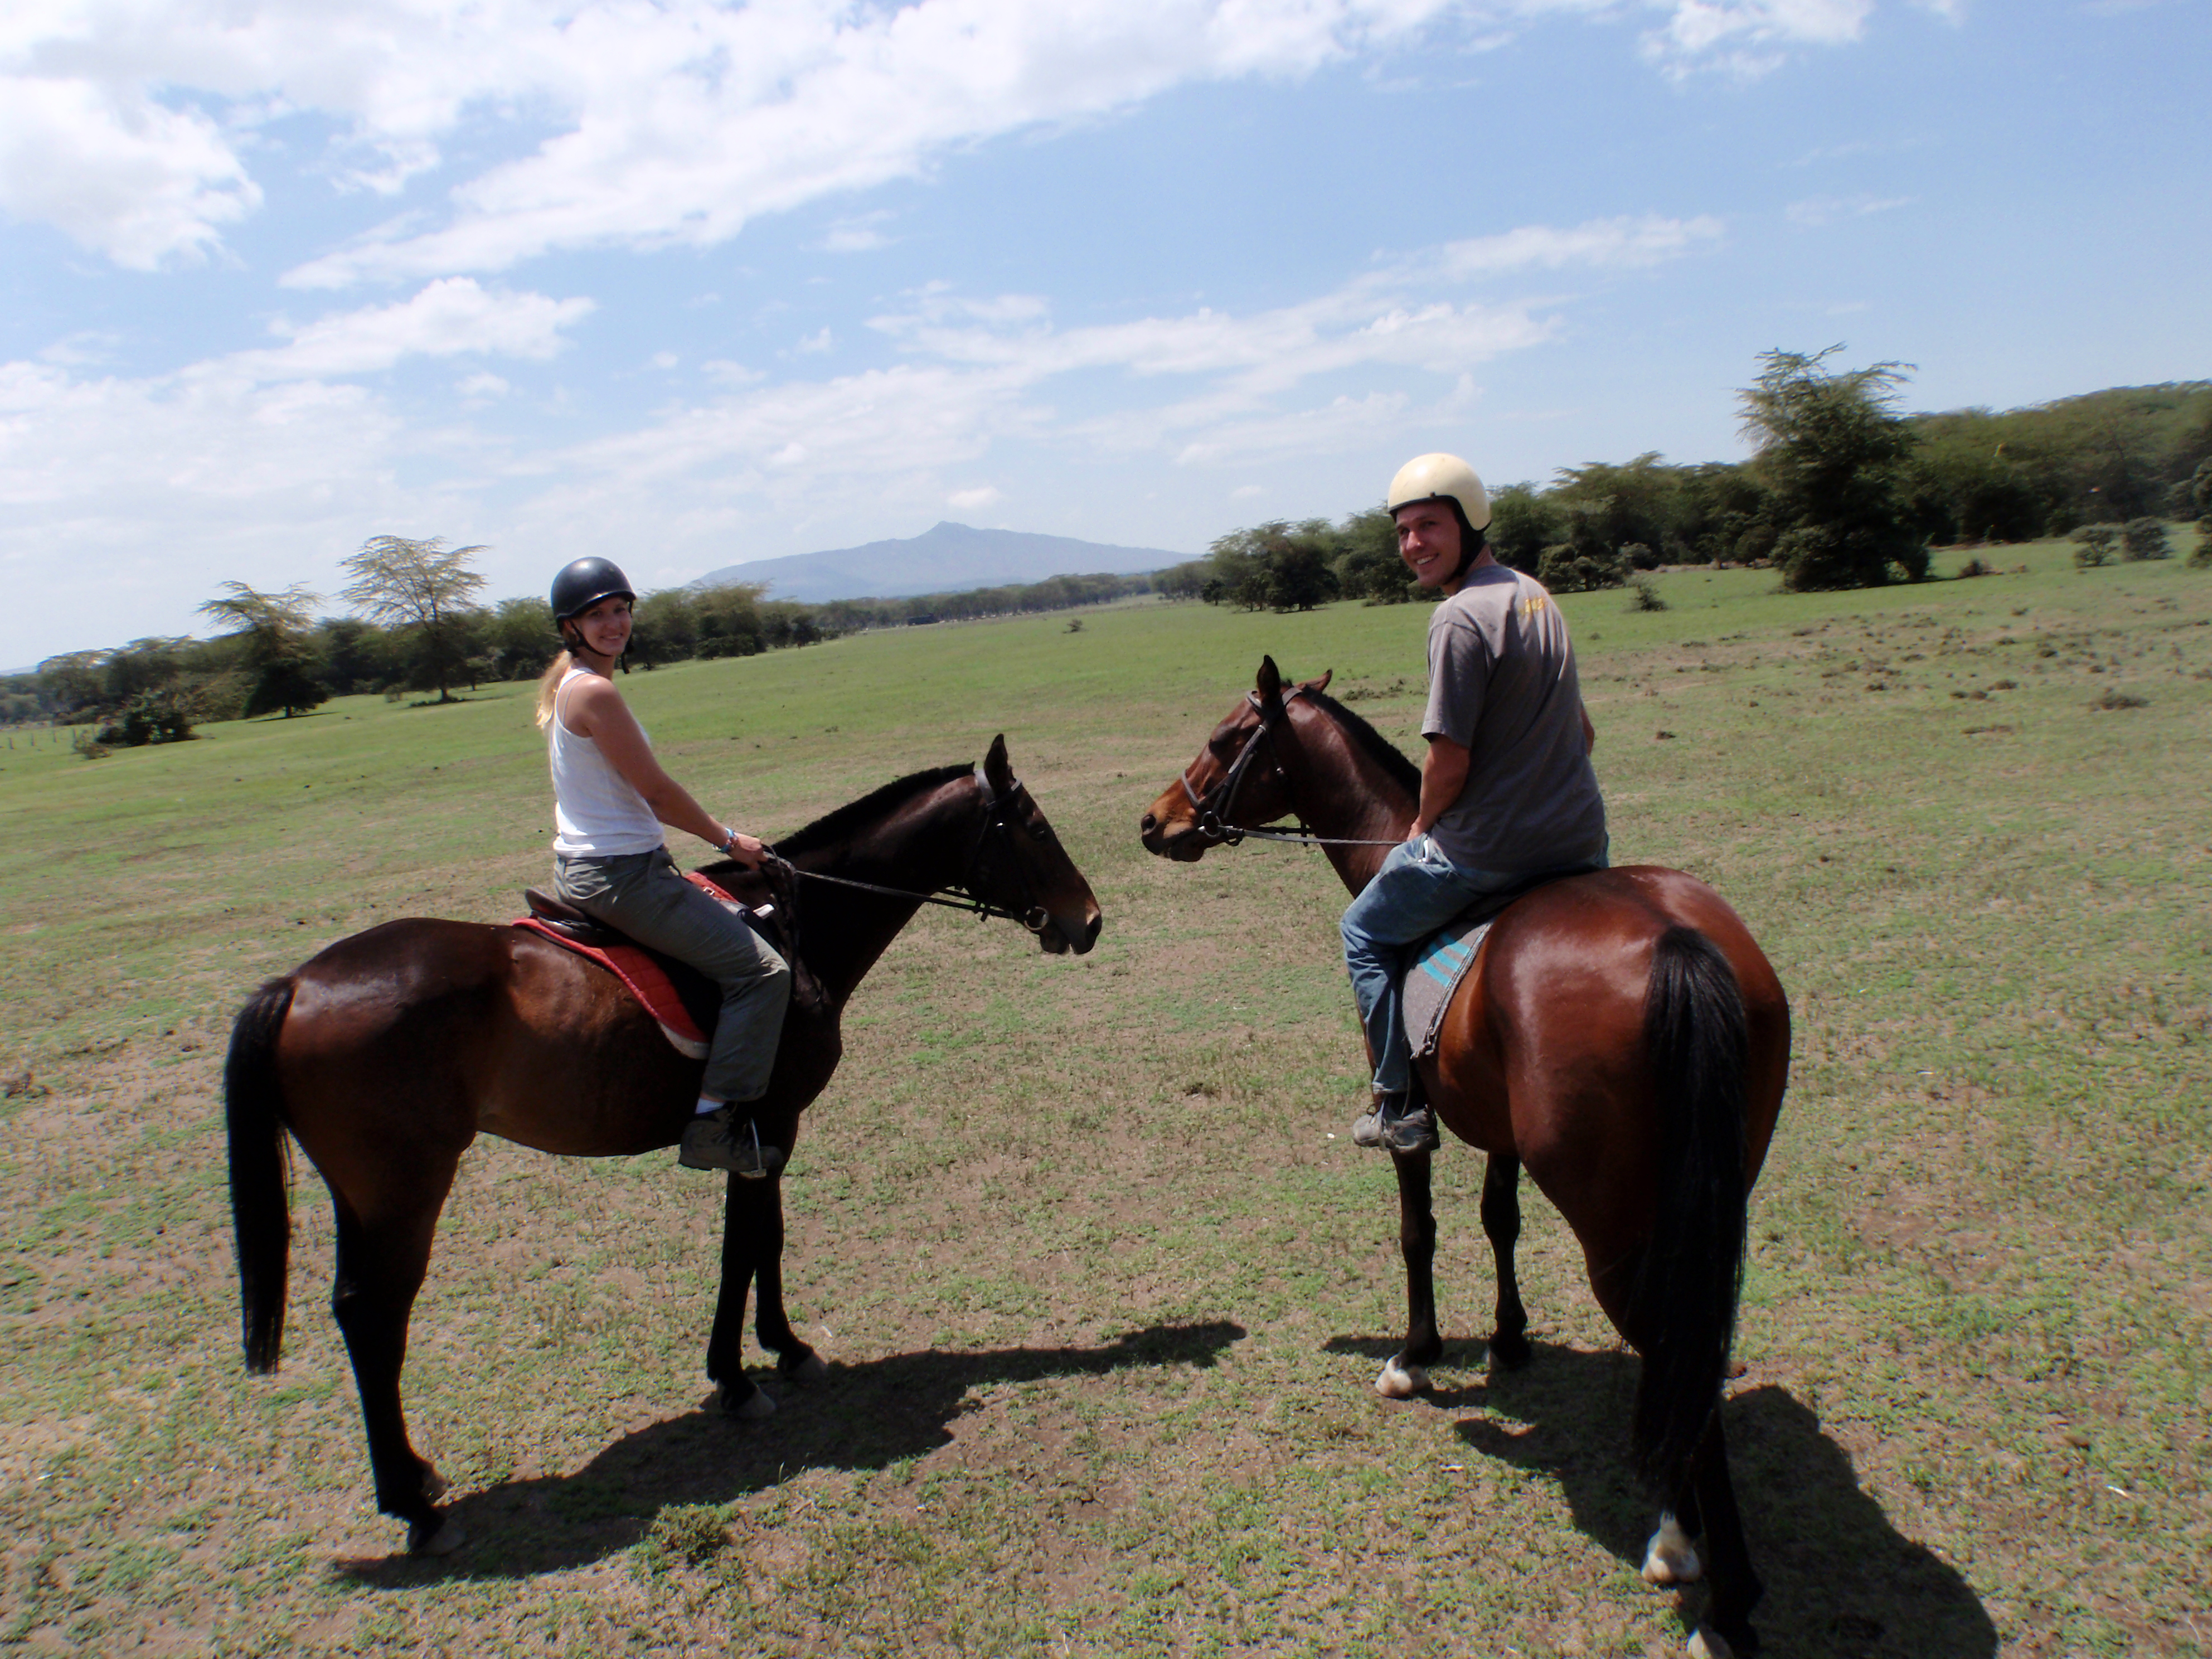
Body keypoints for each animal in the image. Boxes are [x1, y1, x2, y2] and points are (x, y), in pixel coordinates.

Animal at [231, 739, 1097, 1557]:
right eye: (1035, 828)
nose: (1088, 920)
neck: (798, 927)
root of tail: (297, 987)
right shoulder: (770, 1122)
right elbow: (746, 1245)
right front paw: (744, 1377)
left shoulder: (764, 1133)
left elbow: (762, 1241)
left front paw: (780, 1351)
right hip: (405, 1190)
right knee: (375, 1315)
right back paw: (415, 1508)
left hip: (362, 1195)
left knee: (354, 1311)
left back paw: (414, 1479)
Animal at [1150, 663, 1787, 1659]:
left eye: (1224, 740)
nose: (1156, 820)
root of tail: (1675, 940)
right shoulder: (1501, 1130)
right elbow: (1499, 1221)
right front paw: (1510, 1338)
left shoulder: (1413, 1109)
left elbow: (1419, 1230)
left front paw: (1415, 1354)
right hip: (1703, 1198)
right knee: (1693, 1350)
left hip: (1616, 1225)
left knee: (1672, 1348)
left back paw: (1712, 1585)